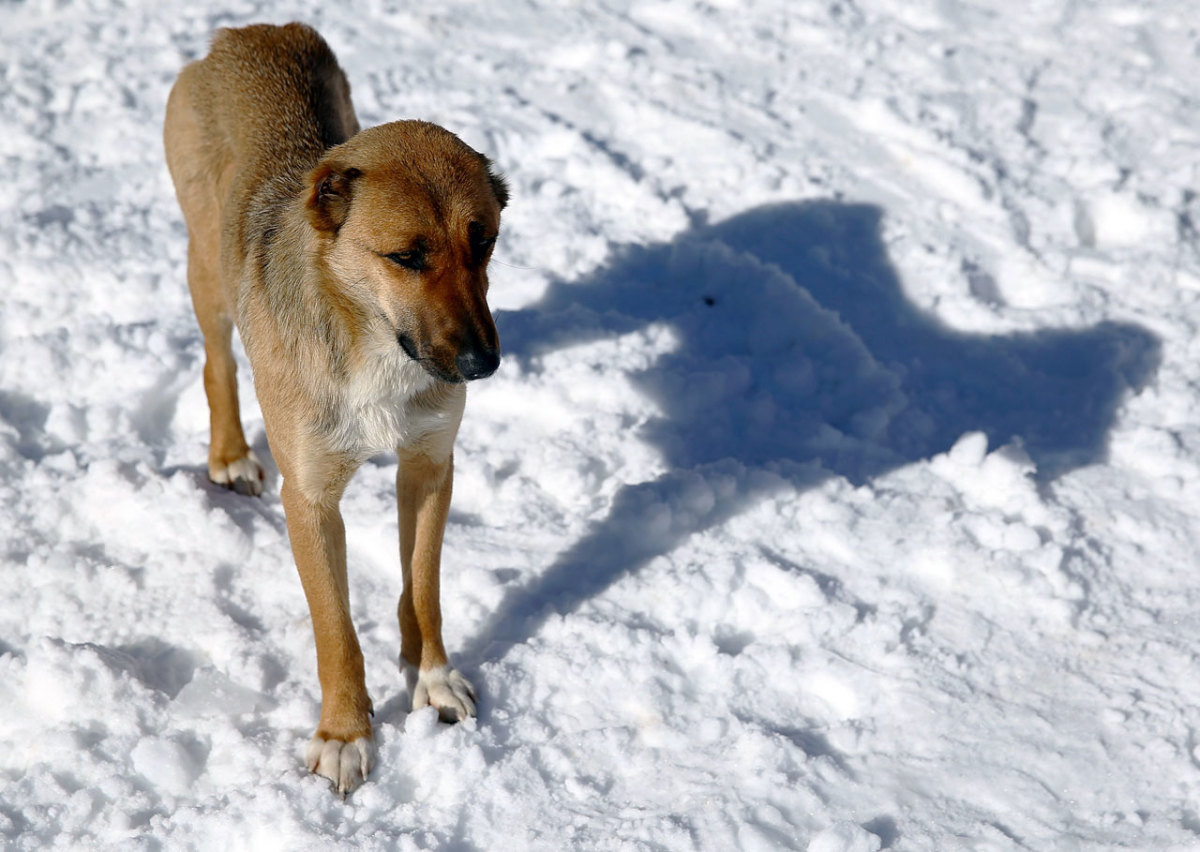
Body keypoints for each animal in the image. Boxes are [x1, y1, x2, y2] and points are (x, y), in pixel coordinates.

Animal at [163, 23, 506, 796]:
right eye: (406, 256)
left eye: (485, 240)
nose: (482, 364)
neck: (374, 341)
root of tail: (245, 32)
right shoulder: (311, 499)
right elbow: (335, 631)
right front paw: (345, 736)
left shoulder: (430, 465)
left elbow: (424, 586)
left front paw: (431, 680)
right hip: (208, 265)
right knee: (217, 360)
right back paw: (229, 456)